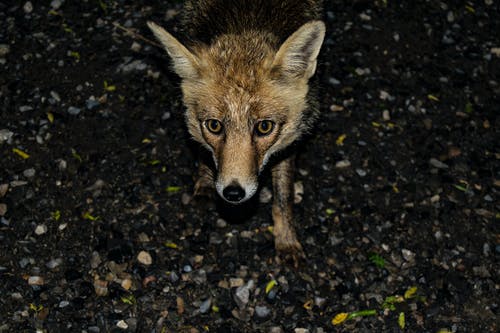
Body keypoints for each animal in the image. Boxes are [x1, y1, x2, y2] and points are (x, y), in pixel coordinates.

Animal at [147, 0, 328, 260]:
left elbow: (283, 199)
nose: (233, 193)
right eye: (214, 126)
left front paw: (286, 239)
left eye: (264, 127)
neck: (248, 22)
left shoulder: (290, 140)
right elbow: (203, 152)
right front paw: (205, 182)